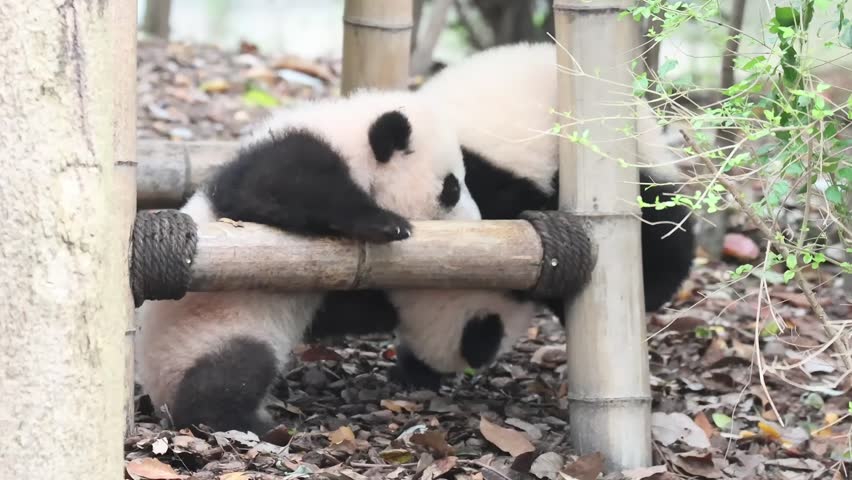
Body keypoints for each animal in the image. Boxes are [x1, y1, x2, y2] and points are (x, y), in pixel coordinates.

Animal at [135, 89, 493, 434]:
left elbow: (344, 311)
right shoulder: (288, 154)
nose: (477, 220)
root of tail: (157, 396)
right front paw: (386, 223)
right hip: (204, 335)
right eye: (452, 188)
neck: (348, 138)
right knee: (232, 372)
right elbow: (272, 191)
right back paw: (254, 424)